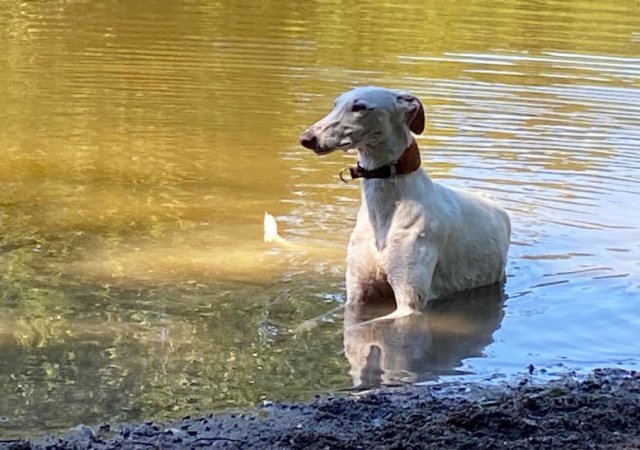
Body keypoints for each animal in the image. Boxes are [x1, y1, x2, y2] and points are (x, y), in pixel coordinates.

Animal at [300, 87, 510, 320]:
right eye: (335, 104)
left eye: (359, 107)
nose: (307, 138)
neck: (384, 216)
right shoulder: (356, 292)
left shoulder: (408, 303)